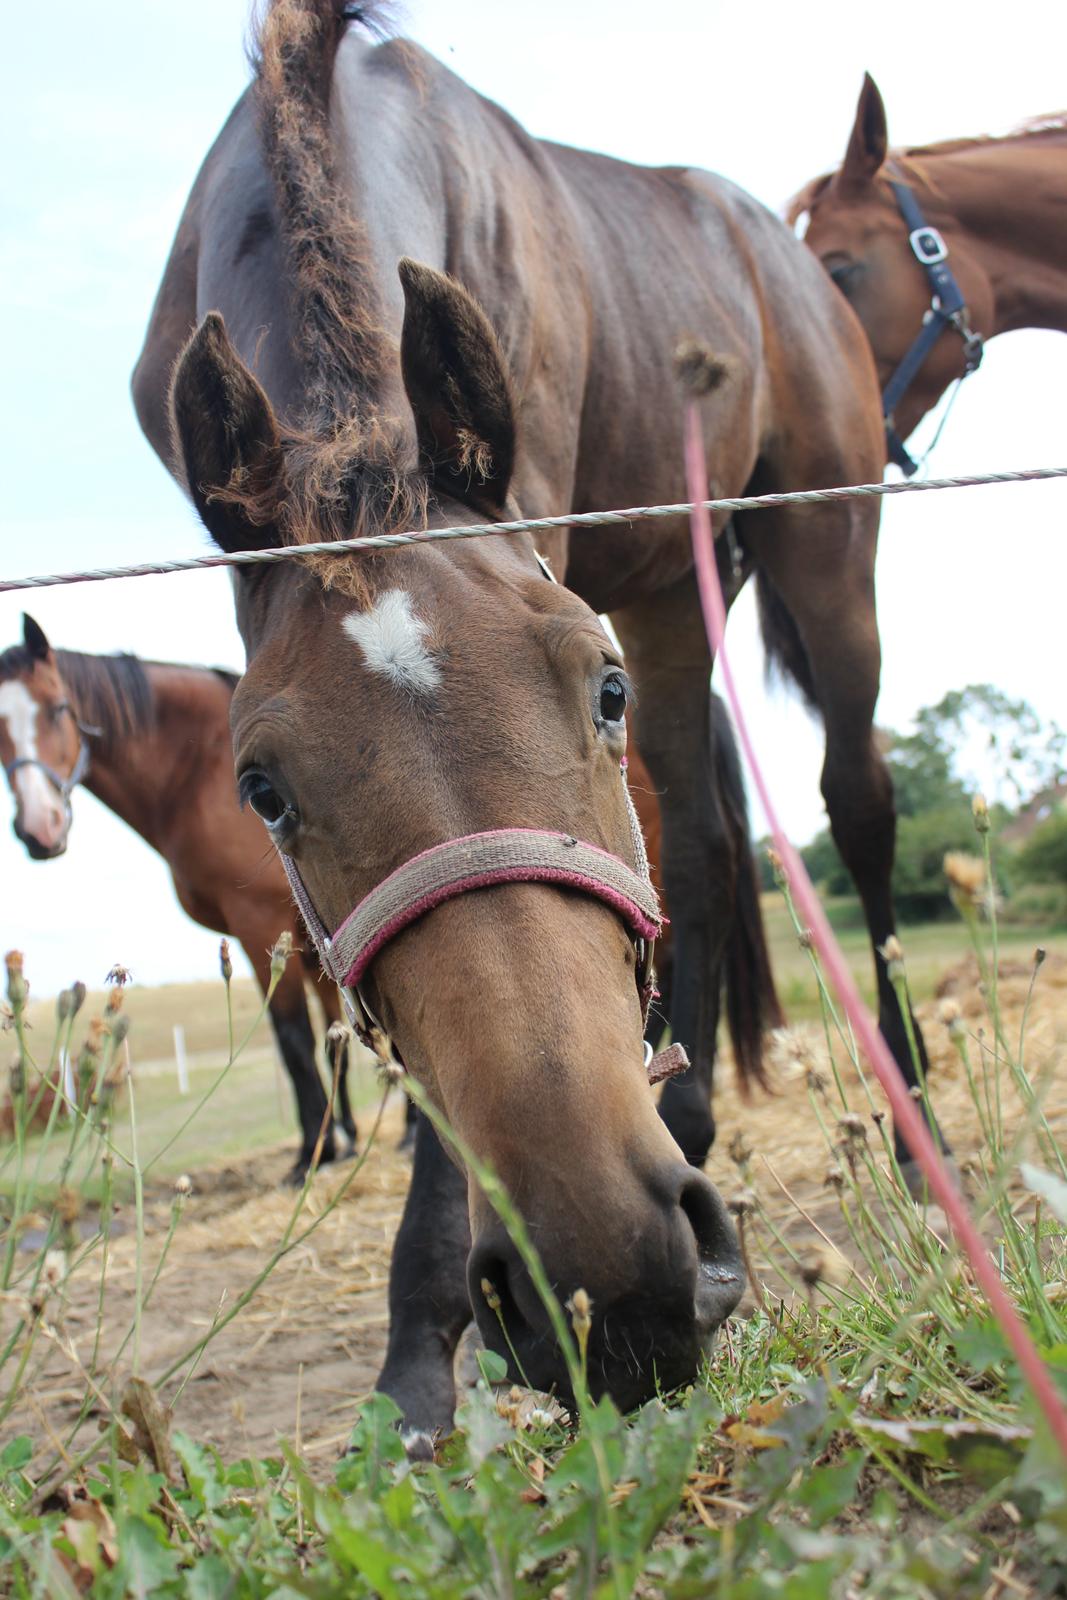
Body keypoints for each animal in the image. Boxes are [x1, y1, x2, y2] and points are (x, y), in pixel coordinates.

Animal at [0, 617, 358, 1184]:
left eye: (57, 708)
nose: (40, 829)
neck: (198, 767)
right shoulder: (300, 939)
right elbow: (327, 1036)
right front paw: (334, 1141)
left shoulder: (259, 925)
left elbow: (294, 1040)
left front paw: (311, 1155)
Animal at [133, 0, 940, 1433]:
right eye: (260, 787)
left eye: (592, 685)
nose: (609, 1277)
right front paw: (420, 1351)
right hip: (673, 577)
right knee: (701, 844)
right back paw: (689, 1124)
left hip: (821, 543)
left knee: (853, 801)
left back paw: (910, 1140)